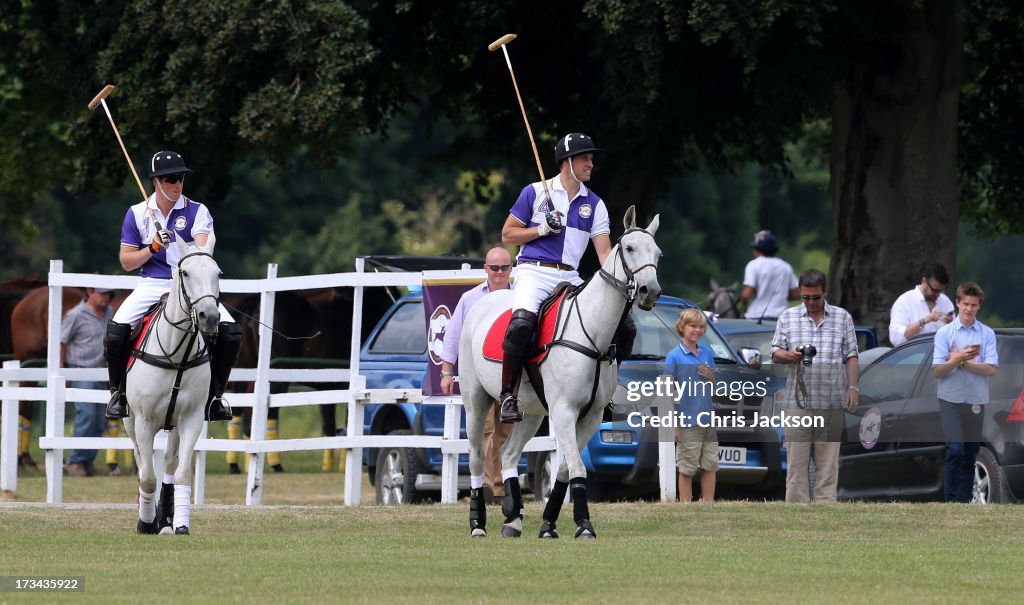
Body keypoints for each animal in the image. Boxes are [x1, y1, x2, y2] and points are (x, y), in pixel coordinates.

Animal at [124, 236, 221, 536]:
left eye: (218, 274)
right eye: (185, 273)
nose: (209, 317)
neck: (176, 354)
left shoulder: (191, 419)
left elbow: (181, 474)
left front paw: (179, 524)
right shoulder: (143, 421)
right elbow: (147, 477)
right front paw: (145, 523)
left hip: (174, 424)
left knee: (168, 461)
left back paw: (166, 519)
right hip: (130, 422)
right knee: (142, 462)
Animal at [458, 206, 663, 540]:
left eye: (657, 253)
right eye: (630, 248)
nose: (650, 291)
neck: (592, 334)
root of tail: (484, 301)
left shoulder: (590, 416)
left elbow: (567, 468)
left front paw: (548, 524)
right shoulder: (564, 410)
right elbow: (578, 468)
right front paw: (584, 525)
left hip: (532, 412)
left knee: (508, 453)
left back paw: (513, 517)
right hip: (475, 399)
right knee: (476, 456)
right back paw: (478, 523)